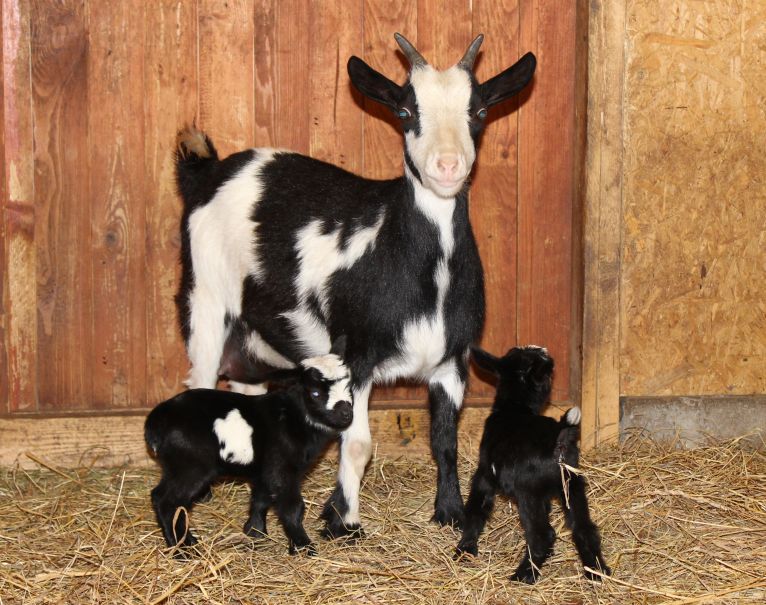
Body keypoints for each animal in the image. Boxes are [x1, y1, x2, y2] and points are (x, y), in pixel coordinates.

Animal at [144, 346, 354, 556]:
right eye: (315, 393)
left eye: (349, 386)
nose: (346, 414)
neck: (293, 416)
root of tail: (156, 420)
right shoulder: (282, 467)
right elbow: (292, 507)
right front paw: (303, 545)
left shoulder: (265, 469)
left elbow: (260, 499)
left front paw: (255, 532)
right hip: (190, 466)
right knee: (165, 500)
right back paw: (181, 550)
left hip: (176, 467)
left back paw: (187, 541)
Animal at [176, 33, 536, 536]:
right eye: (405, 112)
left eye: (480, 111)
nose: (447, 166)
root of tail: (208, 171)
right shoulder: (357, 357)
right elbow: (358, 443)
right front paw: (341, 519)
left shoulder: (452, 361)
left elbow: (445, 440)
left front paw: (450, 512)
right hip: (205, 298)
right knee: (201, 380)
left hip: (256, 333)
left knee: (245, 387)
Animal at [456, 346, 612, 584]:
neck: (514, 409)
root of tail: (559, 438)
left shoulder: (484, 475)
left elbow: (476, 509)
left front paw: (465, 549)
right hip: (572, 484)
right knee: (584, 528)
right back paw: (596, 572)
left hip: (529, 493)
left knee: (542, 535)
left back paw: (523, 575)